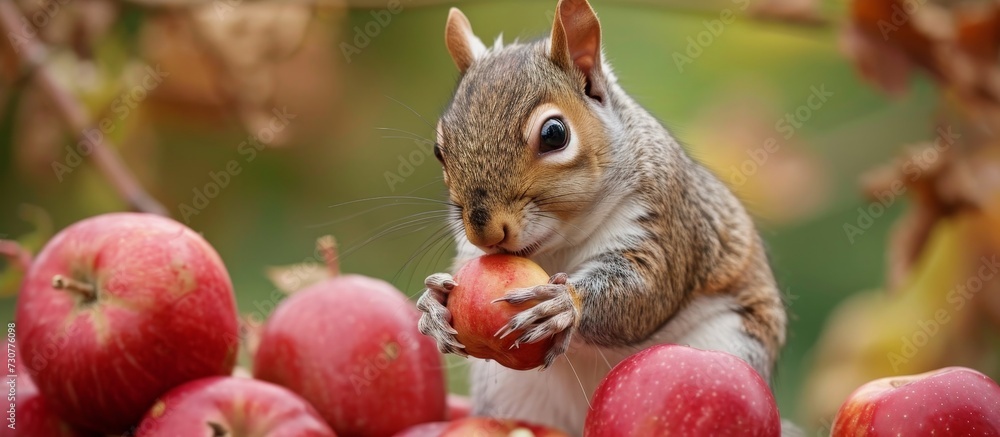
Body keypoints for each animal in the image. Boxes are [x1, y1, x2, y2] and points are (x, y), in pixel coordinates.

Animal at [414, 0, 788, 430]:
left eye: (554, 134)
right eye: (439, 150)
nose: (485, 231)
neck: (558, 245)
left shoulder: (663, 220)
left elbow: (644, 289)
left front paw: (565, 303)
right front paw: (433, 302)